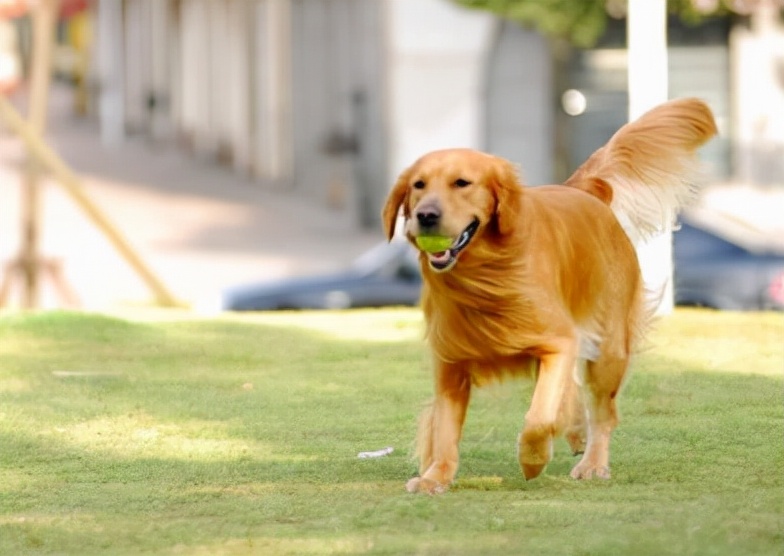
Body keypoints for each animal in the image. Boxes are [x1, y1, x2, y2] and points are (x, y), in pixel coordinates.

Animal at [380, 97, 716, 494]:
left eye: (462, 183)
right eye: (418, 185)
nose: (426, 215)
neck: (485, 275)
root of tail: (585, 190)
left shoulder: (558, 341)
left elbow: (539, 417)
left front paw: (533, 459)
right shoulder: (450, 364)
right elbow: (445, 430)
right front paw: (435, 477)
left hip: (610, 348)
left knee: (604, 412)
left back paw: (593, 462)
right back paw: (575, 431)